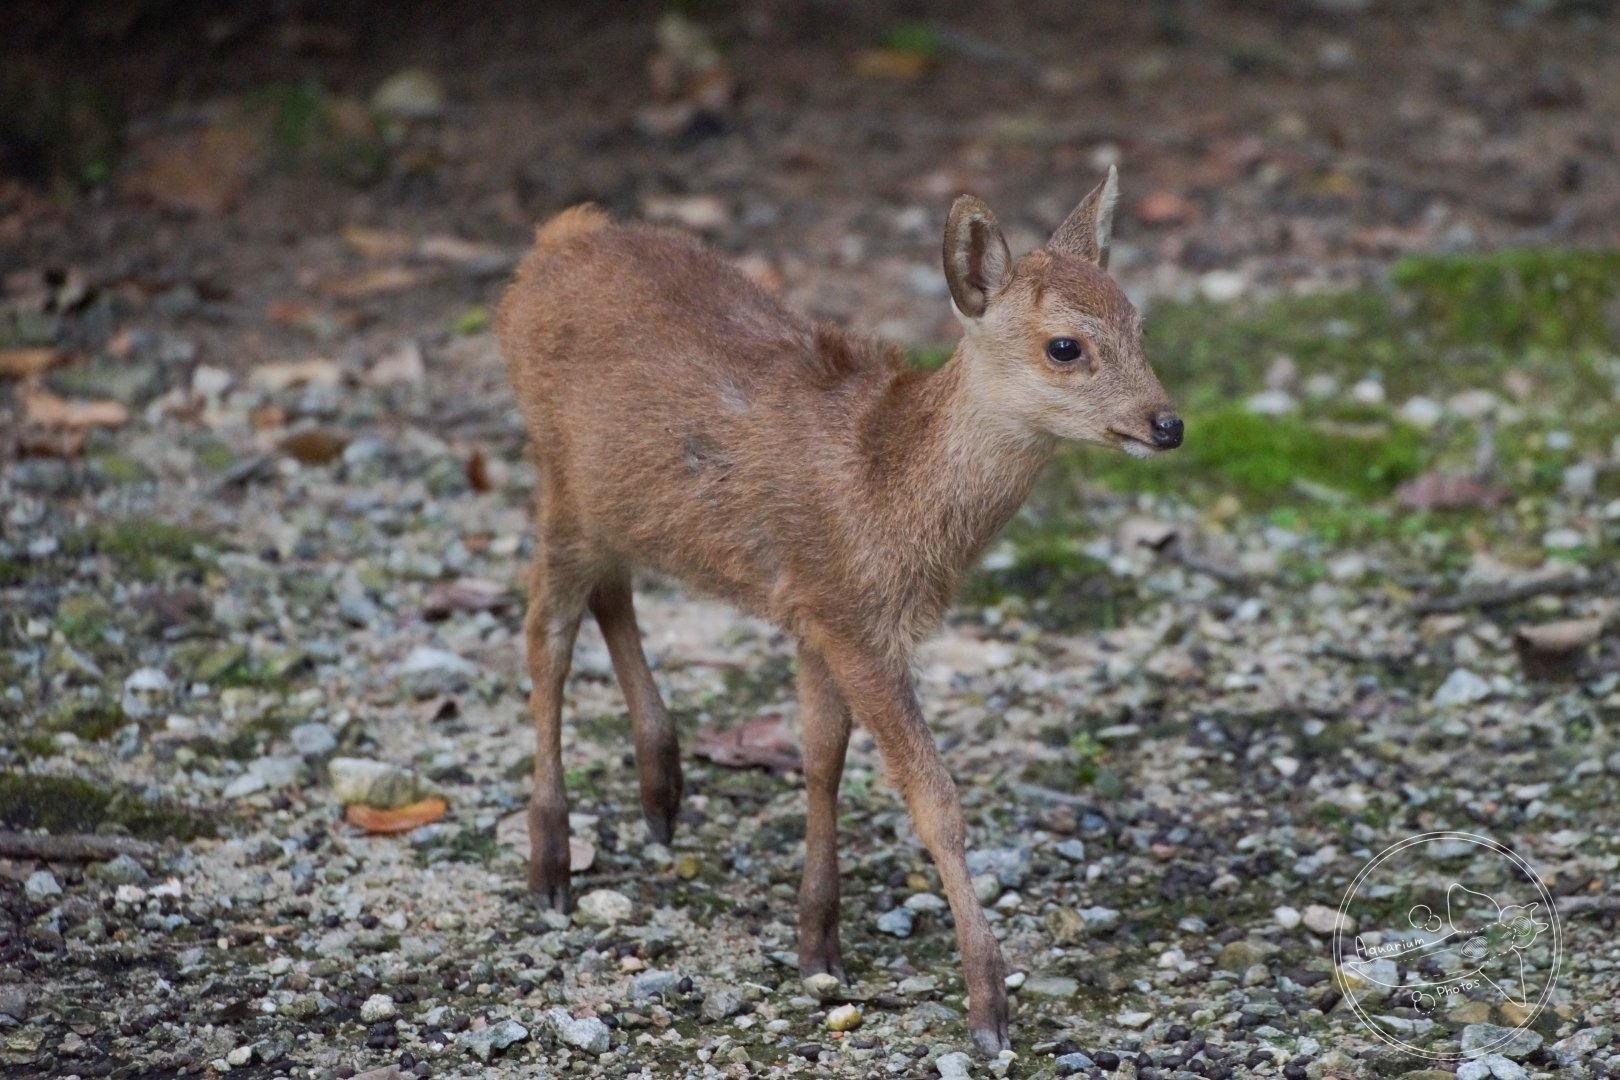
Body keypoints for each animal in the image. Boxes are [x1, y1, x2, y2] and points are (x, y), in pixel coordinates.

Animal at [496, 167, 1181, 1054]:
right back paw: (550, 863)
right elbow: (935, 799)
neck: (885, 491)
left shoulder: (818, 610)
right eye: (1065, 345)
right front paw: (988, 1004)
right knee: (543, 637)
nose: (1167, 423)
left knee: (610, 590)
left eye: (1140, 323)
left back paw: (661, 788)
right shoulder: (855, 622)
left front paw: (817, 941)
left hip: (614, 499)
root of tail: (549, 245)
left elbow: (822, 758)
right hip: (557, 474)